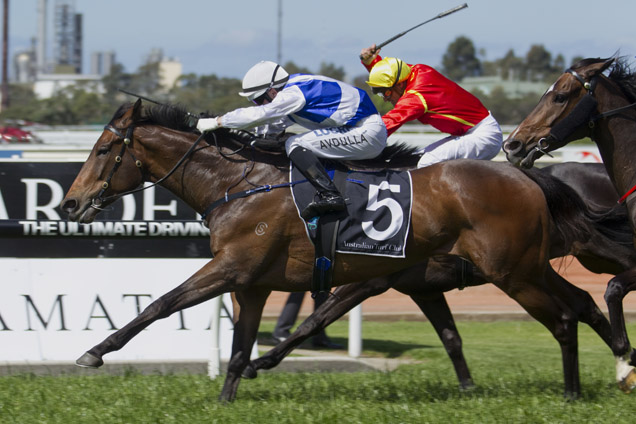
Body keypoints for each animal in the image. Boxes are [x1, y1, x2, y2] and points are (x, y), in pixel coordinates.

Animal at [247, 161, 636, 390]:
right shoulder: (424, 290)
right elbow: (451, 338)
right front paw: (468, 388)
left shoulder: (368, 282)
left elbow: (313, 322)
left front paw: (260, 361)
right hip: (534, 266)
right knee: (582, 301)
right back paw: (623, 364)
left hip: (572, 253)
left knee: (605, 285)